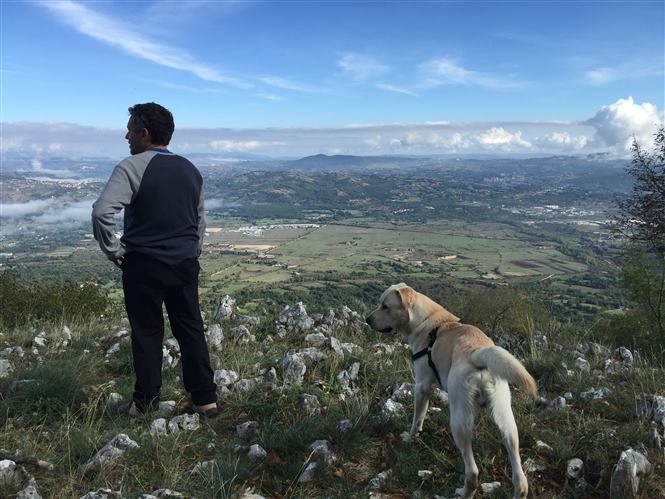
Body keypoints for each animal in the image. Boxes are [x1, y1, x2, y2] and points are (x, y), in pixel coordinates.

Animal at [366, 284, 536, 499]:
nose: (367, 319)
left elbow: (417, 419)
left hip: (459, 422)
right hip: (506, 421)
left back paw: (464, 492)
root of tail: (478, 354)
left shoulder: (422, 386)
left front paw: (411, 437)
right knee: (520, 479)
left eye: (385, 306)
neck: (426, 322)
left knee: (472, 473)